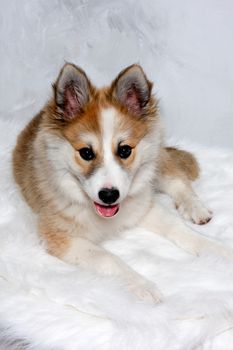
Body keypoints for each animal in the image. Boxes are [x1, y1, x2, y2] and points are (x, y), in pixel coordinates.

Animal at [12, 62, 231, 300]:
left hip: (156, 158)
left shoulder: (142, 206)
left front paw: (217, 249)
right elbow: (107, 258)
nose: (109, 195)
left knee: (176, 179)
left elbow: (178, 227)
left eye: (125, 150)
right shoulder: (59, 236)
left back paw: (195, 207)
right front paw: (143, 285)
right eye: (86, 153)